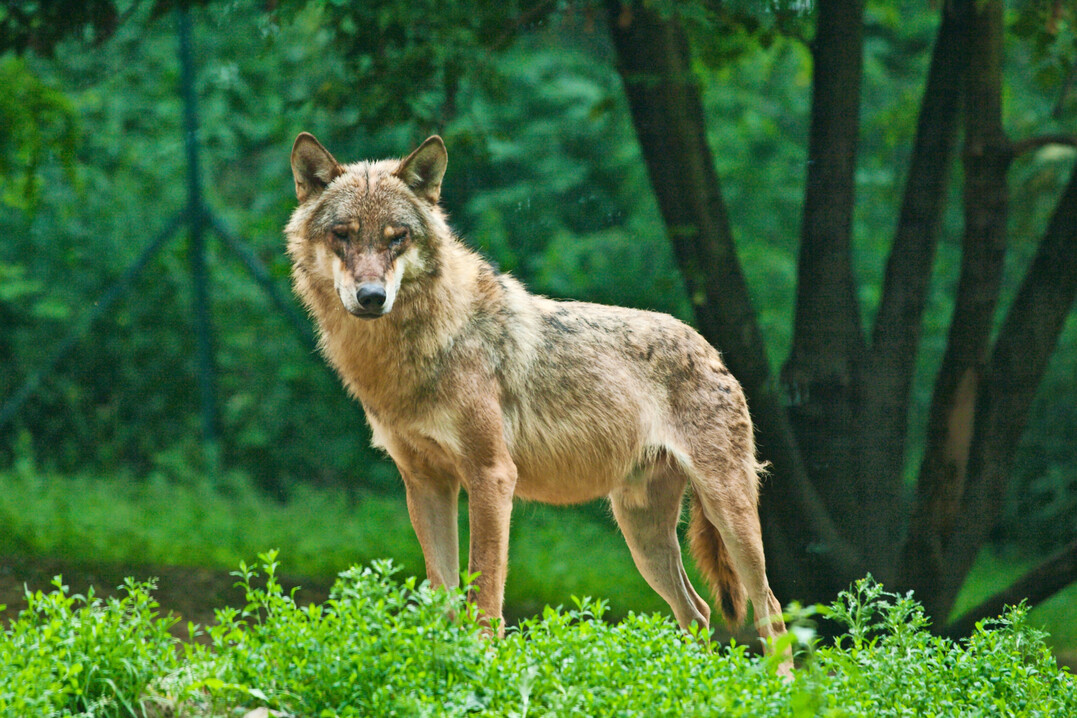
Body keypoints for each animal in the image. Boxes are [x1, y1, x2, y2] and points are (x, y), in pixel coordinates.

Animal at [286, 133, 790, 664]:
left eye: (396, 237)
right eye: (342, 234)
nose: (371, 297)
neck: (417, 349)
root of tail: (710, 348)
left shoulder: (491, 477)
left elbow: (484, 593)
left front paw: (484, 666)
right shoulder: (425, 484)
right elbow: (444, 596)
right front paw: (448, 666)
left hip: (728, 513)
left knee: (771, 609)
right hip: (642, 533)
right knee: (698, 612)